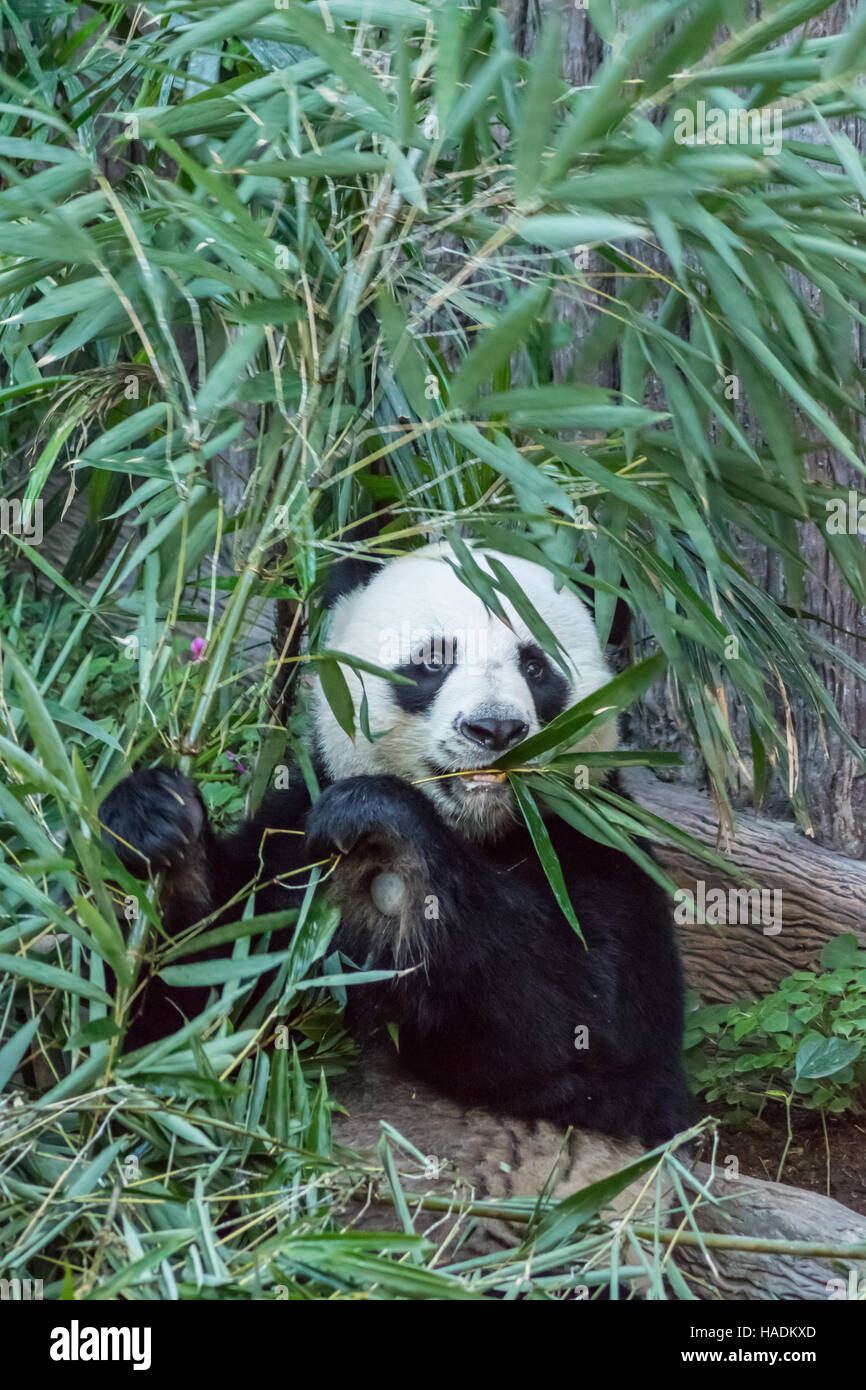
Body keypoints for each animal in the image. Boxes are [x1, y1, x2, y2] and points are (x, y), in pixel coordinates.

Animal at [100, 539, 692, 1139]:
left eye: (534, 666)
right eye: (433, 658)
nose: (495, 730)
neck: (480, 829)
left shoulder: (599, 850)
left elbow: (584, 1021)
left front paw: (380, 821)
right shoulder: (288, 850)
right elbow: (190, 1007)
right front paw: (153, 820)